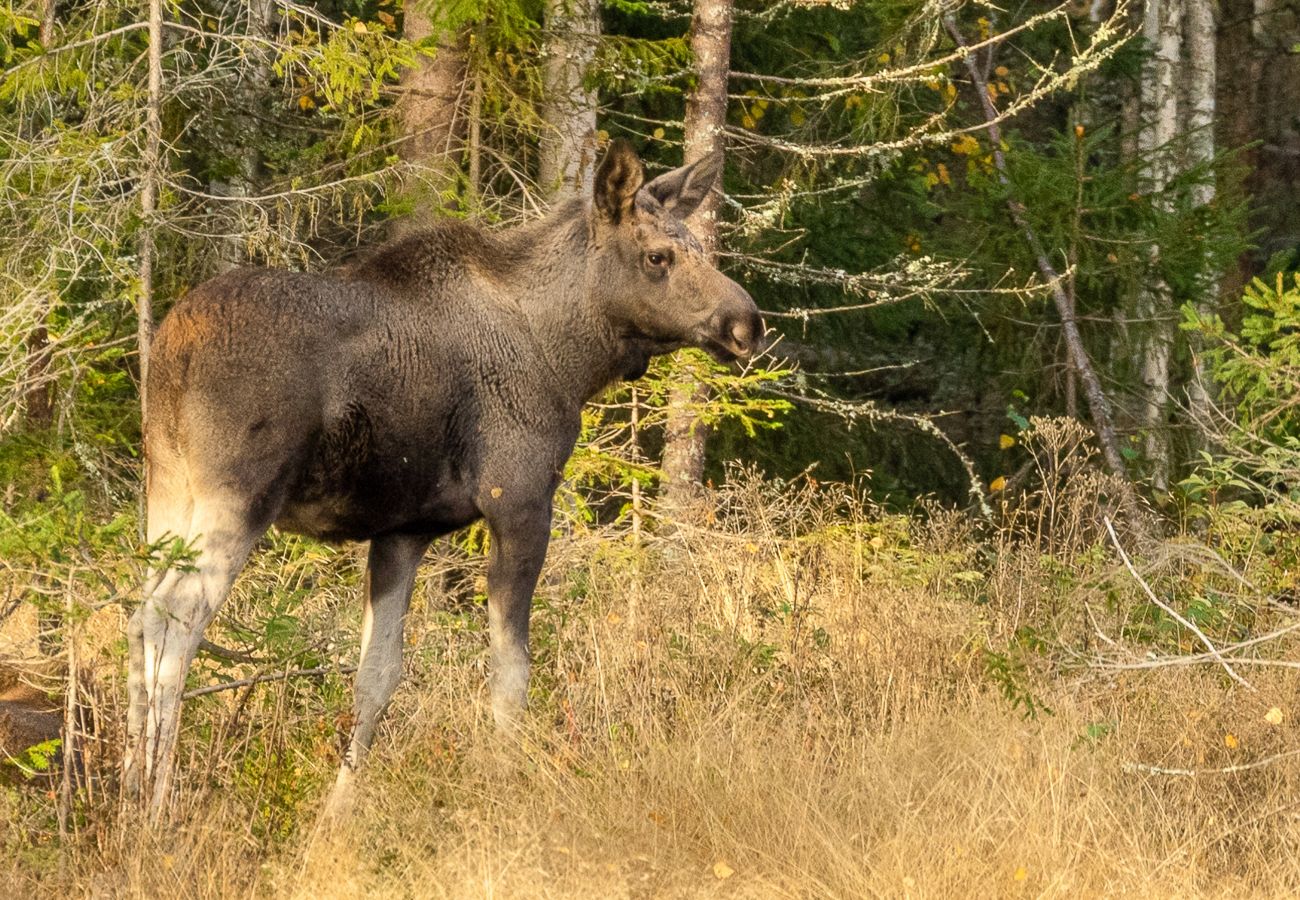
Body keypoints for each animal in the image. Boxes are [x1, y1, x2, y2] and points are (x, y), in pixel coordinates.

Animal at [122, 139, 759, 816]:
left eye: (698, 247)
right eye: (658, 255)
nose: (748, 322)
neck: (569, 356)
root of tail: (173, 350)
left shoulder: (403, 531)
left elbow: (376, 677)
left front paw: (335, 816)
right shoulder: (520, 501)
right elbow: (511, 674)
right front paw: (504, 789)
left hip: (169, 492)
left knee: (138, 616)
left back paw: (124, 789)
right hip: (240, 495)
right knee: (175, 621)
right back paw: (156, 802)